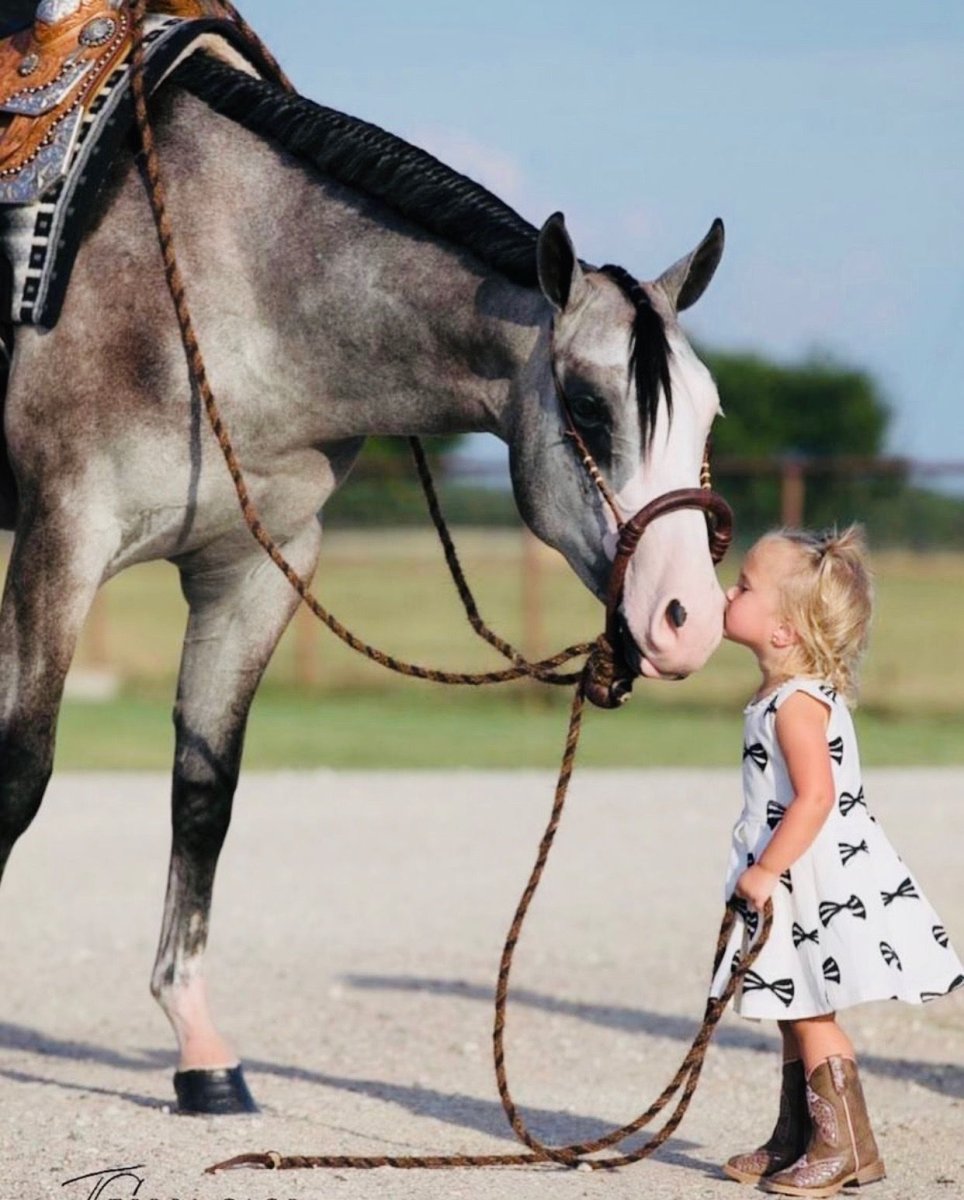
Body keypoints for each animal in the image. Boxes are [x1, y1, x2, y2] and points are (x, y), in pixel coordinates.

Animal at [0, 47, 729, 1111]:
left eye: (710, 414)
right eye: (591, 408)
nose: (688, 618)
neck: (231, 280)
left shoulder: (255, 569)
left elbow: (203, 793)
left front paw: (201, 1053)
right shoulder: (61, 538)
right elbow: (20, 776)